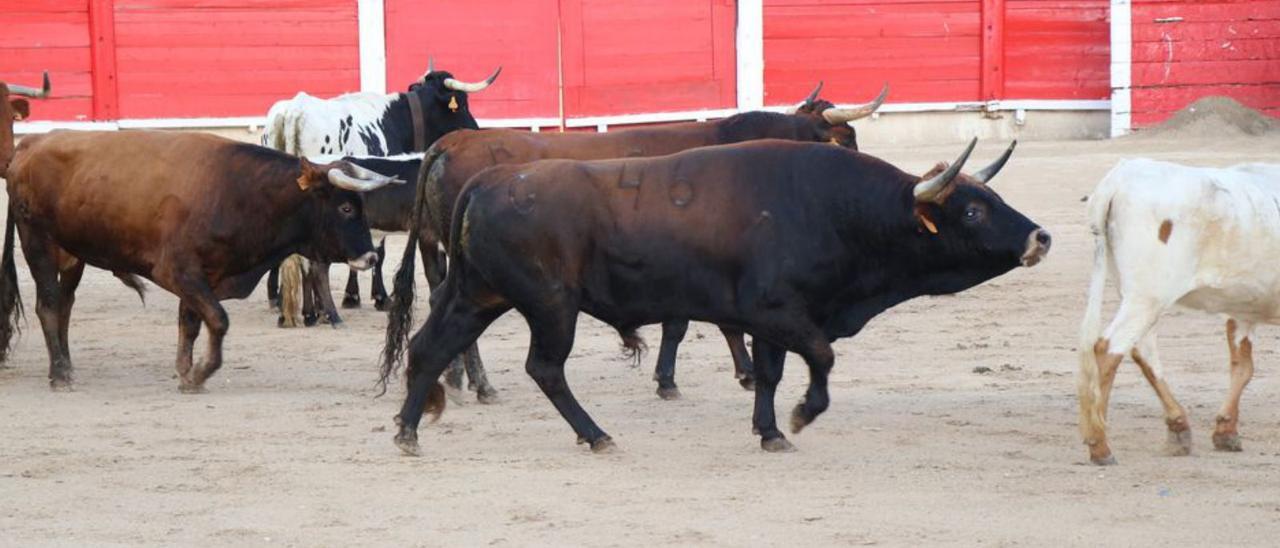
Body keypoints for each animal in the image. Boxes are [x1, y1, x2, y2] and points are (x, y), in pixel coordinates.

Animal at [0, 130, 399, 391]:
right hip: (37, 242)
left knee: (65, 305)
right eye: (346, 208)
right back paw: (60, 375)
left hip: (73, 254)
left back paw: (66, 366)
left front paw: (185, 372)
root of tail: (29, 145)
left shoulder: (204, 277)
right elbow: (218, 320)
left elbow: (190, 323)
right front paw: (202, 372)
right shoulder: (179, 272)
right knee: (48, 305)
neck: (239, 192)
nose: (370, 256)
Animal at [378, 137, 1049, 453]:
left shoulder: (776, 320)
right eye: (971, 210)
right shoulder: (777, 310)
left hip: (478, 294)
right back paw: (596, 435)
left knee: (430, 346)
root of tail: (491, 178)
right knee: (544, 367)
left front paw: (770, 430)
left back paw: (408, 430)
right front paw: (802, 415)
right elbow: (821, 358)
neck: (833, 209)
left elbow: (773, 372)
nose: (1039, 235)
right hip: (549, 306)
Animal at [409, 83, 890, 399]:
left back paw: (456, 378)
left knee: (440, 300)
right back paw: (479, 383)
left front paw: (739, 372)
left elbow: (716, 320)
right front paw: (676, 380)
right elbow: (692, 323)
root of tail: (453, 141)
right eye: (847, 140)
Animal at [1080, 156, 1280, 463]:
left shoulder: (1243, 308)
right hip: (1146, 296)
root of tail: (1119, 178)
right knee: (1108, 348)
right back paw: (1099, 443)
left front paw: (1226, 431)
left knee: (1142, 350)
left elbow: (1243, 367)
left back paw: (1178, 427)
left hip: (1135, 294)